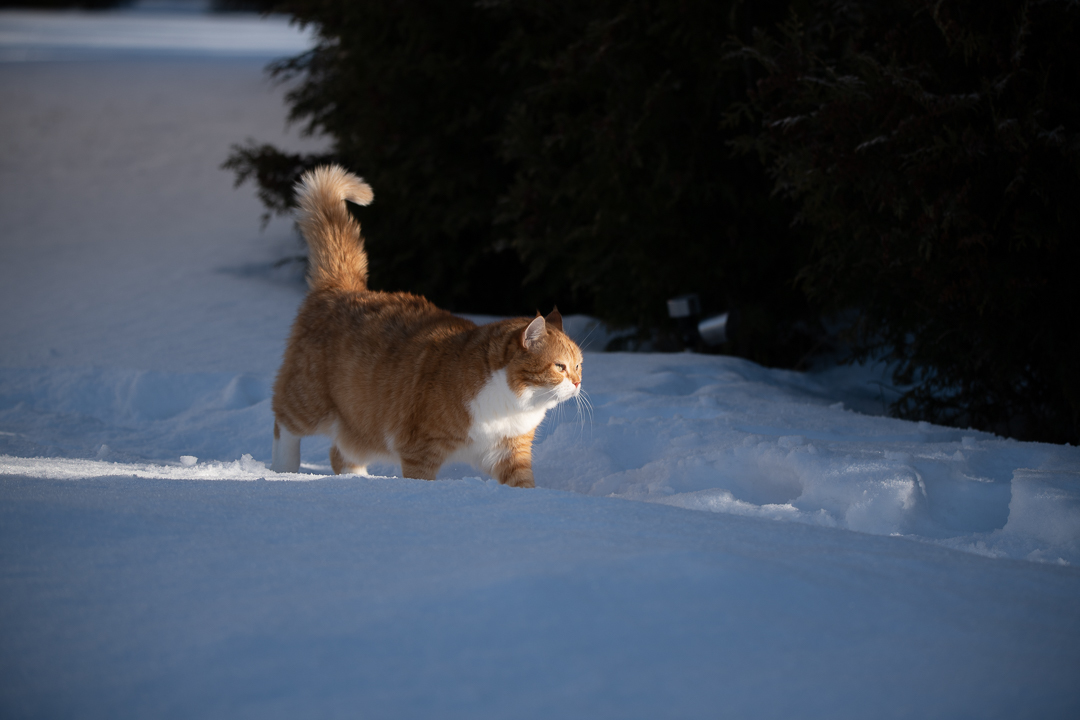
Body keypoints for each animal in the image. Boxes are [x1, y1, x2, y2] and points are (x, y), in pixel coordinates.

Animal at [274, 165, 587, 487]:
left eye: (579, 366)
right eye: (560, 366)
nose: (578, 383)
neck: (509, 405)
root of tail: (343, 288)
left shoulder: (509, 452)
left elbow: (523, 484)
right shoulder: (420, 449)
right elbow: (421, 482)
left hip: (361, 425)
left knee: (341, 454)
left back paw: (358, 480)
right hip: (308, 400)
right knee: (283, 422)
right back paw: (283, 470)